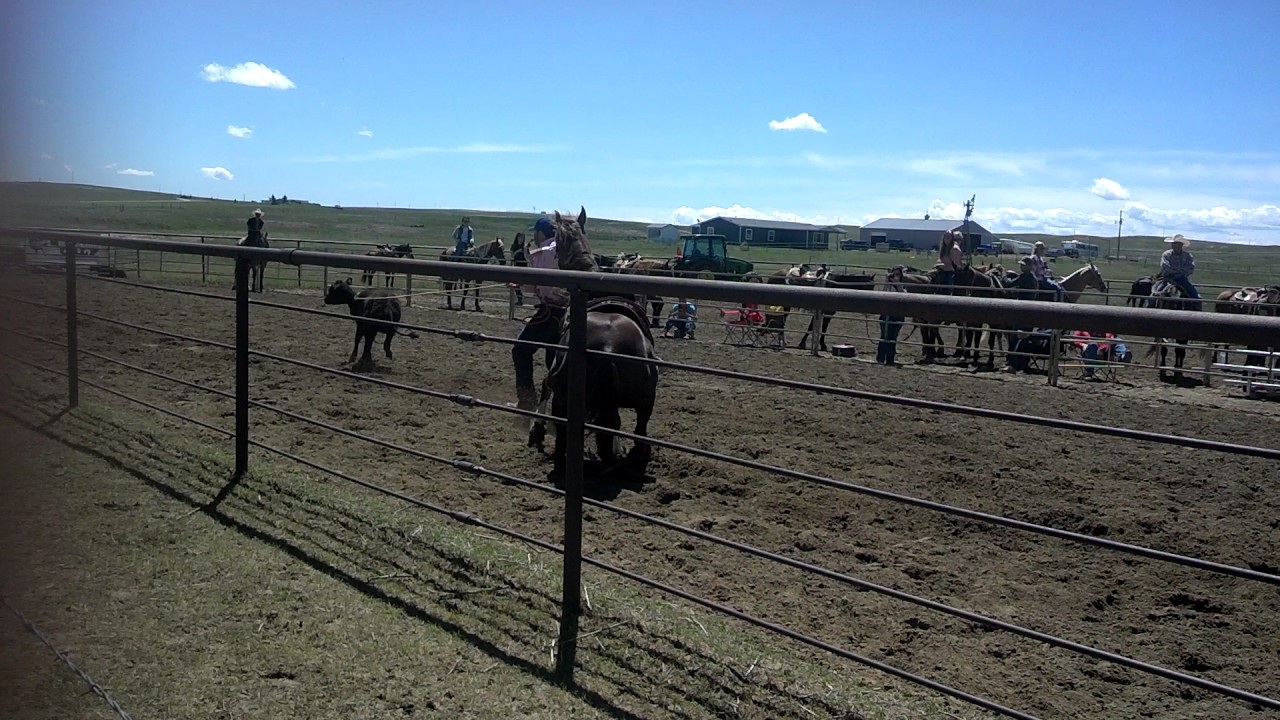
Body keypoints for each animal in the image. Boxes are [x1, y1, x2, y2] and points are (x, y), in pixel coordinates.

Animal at [527, 211, 660, 480]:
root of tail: (607, 349)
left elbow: (544, 385)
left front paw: (537, 429)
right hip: (645, 403)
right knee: (636, 433)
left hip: (564, 397)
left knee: (565, 437)